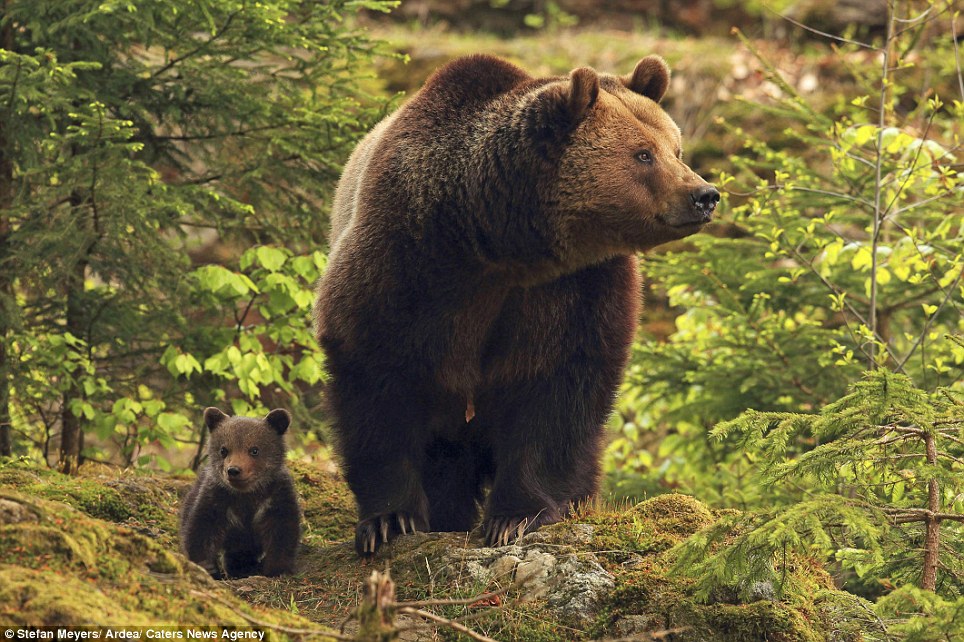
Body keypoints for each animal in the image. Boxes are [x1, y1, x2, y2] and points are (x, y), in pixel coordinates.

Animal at [314, 56, 716, 556]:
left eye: (676, 149)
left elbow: (559, 394)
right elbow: (375, 383)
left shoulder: (576, 290)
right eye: (643, 154)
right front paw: (390, 519)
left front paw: (516, 517)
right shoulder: (402, 262)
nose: (705, 194)